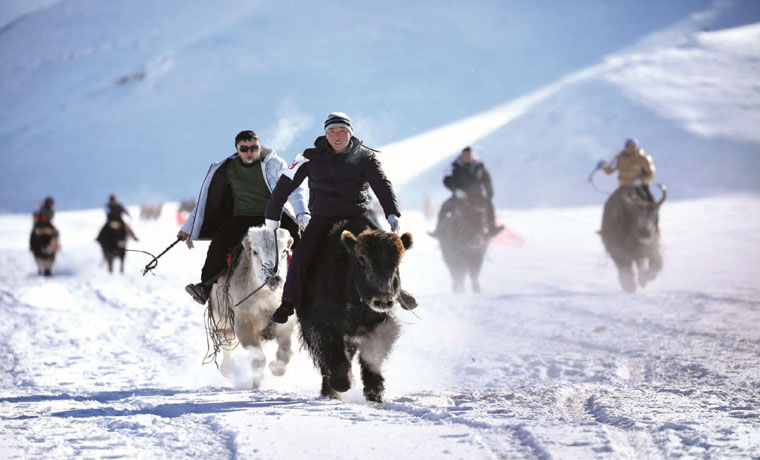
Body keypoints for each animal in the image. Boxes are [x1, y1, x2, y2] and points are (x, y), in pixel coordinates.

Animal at [206, 226, 296, 388]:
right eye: (255, 252)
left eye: (285, 251)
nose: (273, 278)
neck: (266, 300)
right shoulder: (244, 324)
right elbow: (257, 358)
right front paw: (256, 384)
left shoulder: (286, 323)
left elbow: (285, 352)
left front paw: (275, 368)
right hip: (222, 319)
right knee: (227, 343)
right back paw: (227, 369)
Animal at [296, 217, 416, 400]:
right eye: (361, 260)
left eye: (397, 263)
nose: (383, 301)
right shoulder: (321, 326)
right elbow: (333, 356)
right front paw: (343, 383)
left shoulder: (380, 325)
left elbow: (372, 356)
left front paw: (375, 391)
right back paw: (331, 392)